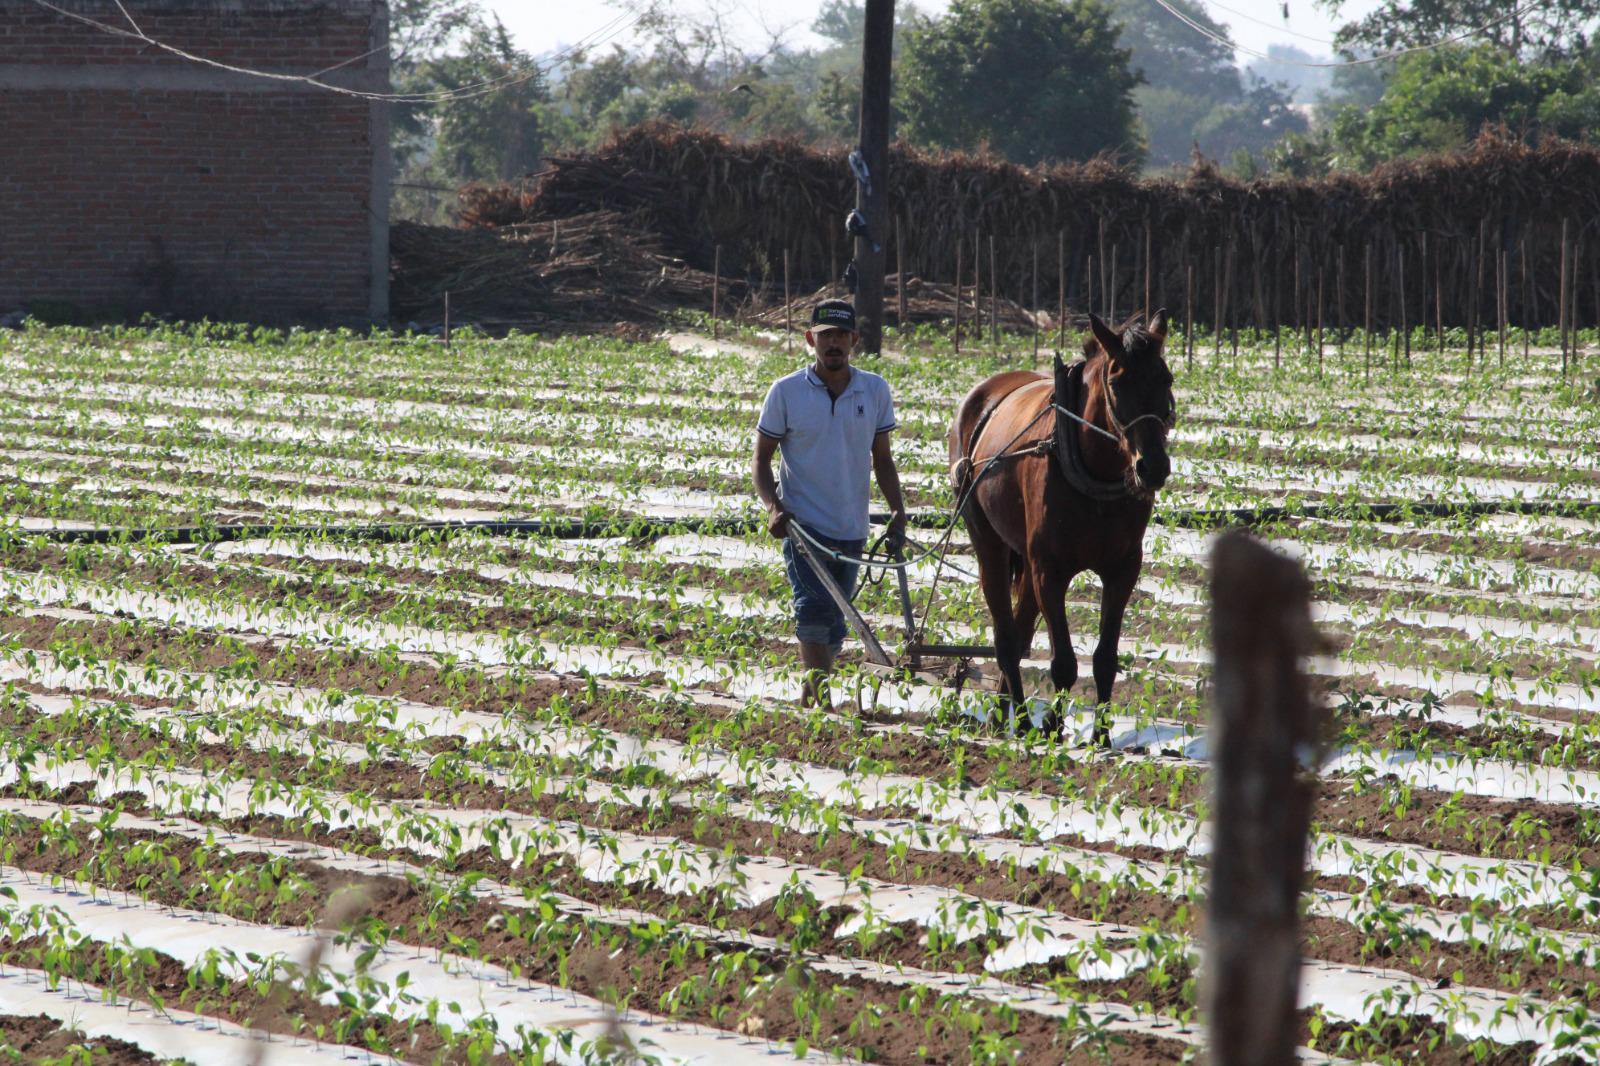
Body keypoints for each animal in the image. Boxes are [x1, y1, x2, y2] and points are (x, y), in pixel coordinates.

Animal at [947, 312, 1177, 736]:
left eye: (1166, 378)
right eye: (1117, 381)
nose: (1153, 466)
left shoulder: (1123, 570)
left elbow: (1105, 659)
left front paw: (1100, 736)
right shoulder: (1049, 570)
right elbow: (1064, 662)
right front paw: (1052, 727)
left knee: (1020, 632)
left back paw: (1005, 714)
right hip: (989, 542)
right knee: (1006, 639)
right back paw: (1018, 719)